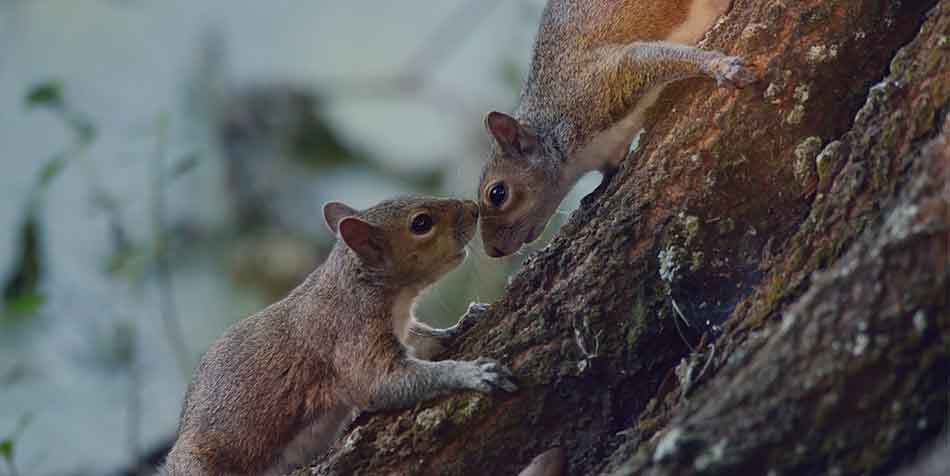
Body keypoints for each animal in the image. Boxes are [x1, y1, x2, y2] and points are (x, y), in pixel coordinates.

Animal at [161, 197, 516, 476]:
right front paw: (471, 373)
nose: (473, 208)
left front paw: (466, 320)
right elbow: (381, 382)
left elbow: (427, 340)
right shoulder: (351, 336)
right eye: (421, 223)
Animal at [477, 0, 756, 256]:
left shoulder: (596, 89)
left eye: (497, 193)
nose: (493, 251)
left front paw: (717, 66)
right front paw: (599, 189)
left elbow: (639, 59)